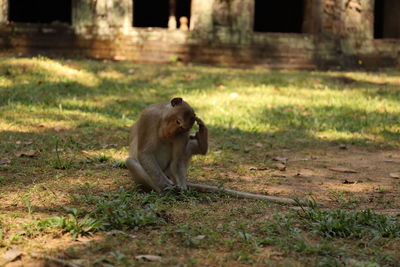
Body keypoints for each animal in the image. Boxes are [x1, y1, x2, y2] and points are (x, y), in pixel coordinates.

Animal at [125, 98, 322, 207]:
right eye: (177, 122)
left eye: (181, 127)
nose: (169, 134)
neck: (162, 121)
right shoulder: (149, 118)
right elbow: (145, 154)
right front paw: (168, 188)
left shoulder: (182, 136)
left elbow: (177, 161)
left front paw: (180, 188)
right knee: (131, 161)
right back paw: (163, 191)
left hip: (171, 168)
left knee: (186, 151)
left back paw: (201, 144)